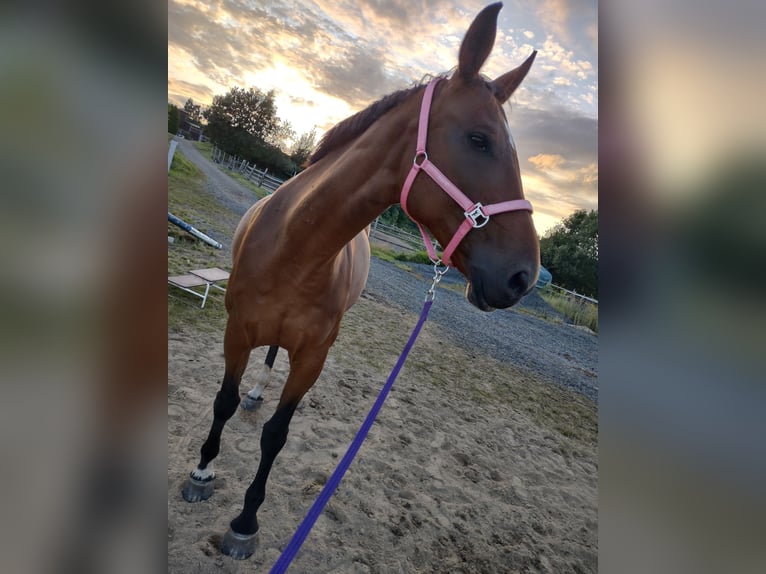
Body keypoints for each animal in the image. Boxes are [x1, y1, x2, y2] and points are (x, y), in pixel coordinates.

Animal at [182, 2, 540, 564]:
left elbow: (277, 434)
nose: (524, 276)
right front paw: (201, 473)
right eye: (479, 139)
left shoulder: (313, 356)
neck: (295, 247)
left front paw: (245, 521)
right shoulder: (235, 332)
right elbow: (222, 402)